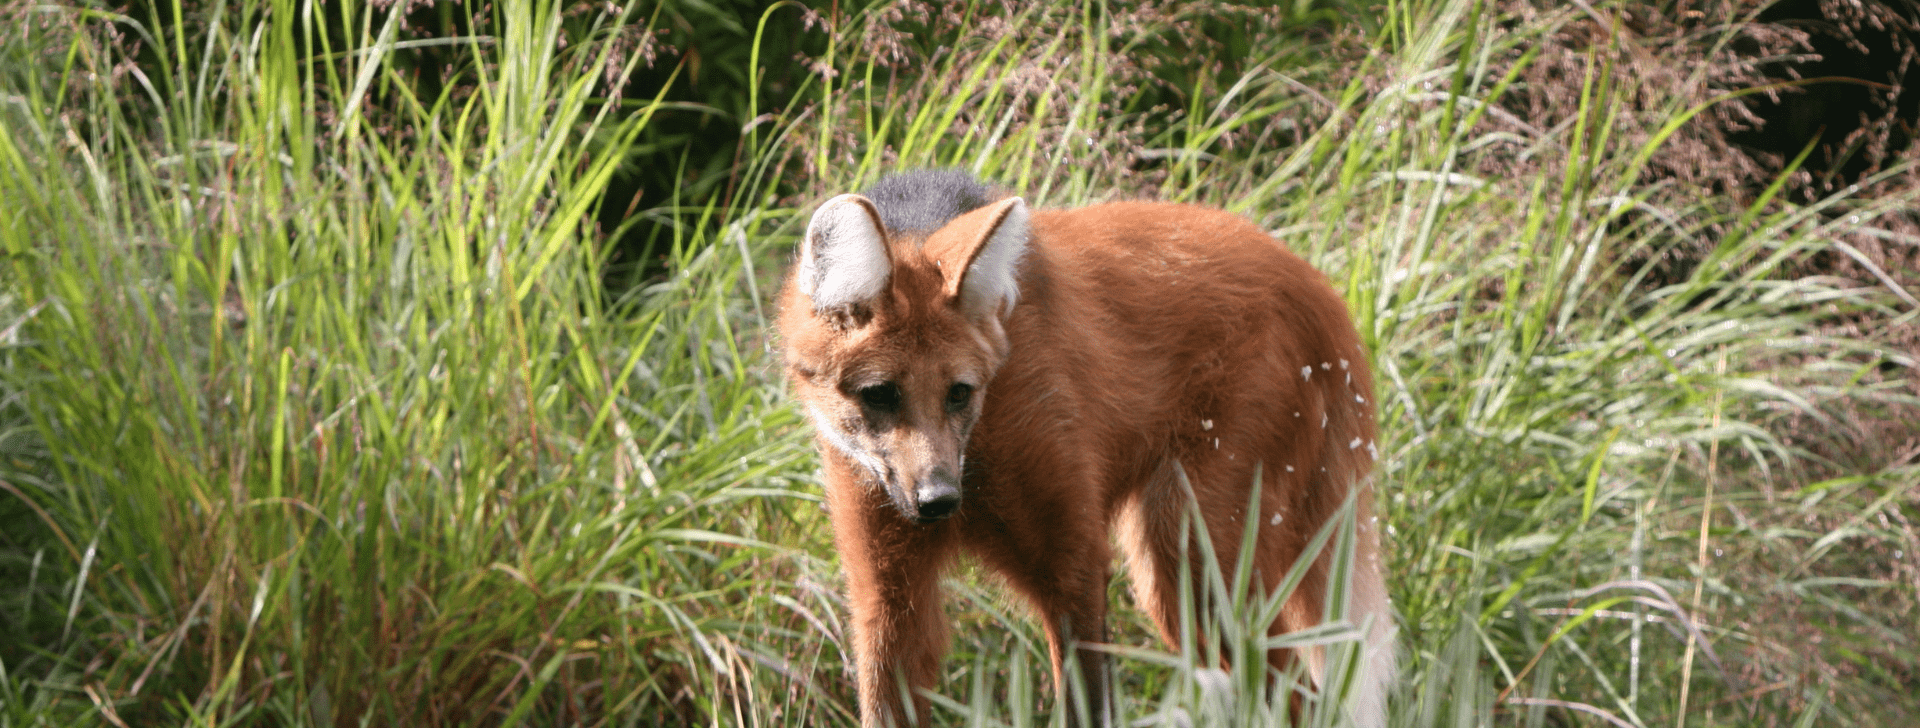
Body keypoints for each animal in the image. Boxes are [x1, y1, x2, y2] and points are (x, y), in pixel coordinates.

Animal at [779, 170, 1397, 728]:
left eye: (959, 393)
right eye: (880, 394)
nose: (937, 501)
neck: (977, 447)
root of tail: (1316, 285)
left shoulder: (1072, 563)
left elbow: (1085, 698)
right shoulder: (888, 590)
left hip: (1184, 556)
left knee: (1303, 693)